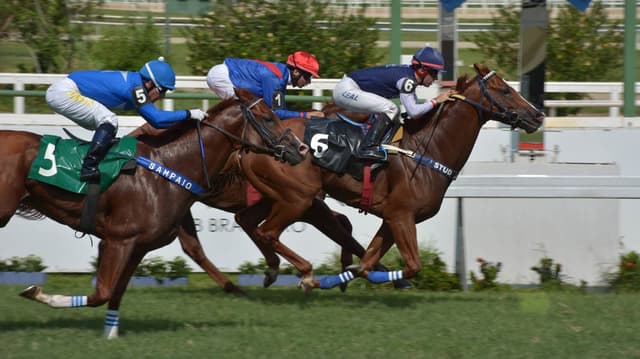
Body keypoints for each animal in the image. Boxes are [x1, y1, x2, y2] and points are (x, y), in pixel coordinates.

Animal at [0, 88, 304, 338]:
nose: (300, 149)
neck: (168, 167)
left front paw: (110, 334)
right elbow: (102, 292)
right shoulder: (118, 240)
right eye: (268, 118)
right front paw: (36, 292)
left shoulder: (139, 246)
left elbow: (116, 292)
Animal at [232, 63, 544, 292]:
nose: (538, 116)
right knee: (267, 232)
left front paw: (340, 277)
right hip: (298, 198)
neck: (426, 148)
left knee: (247, 221)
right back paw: (304, 273)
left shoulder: (393, 217)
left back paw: (276, 271)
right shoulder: (401, 215)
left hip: (279, 195)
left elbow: (368, 261)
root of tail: (252, 144)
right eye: (504, 90)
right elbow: (412, 265)